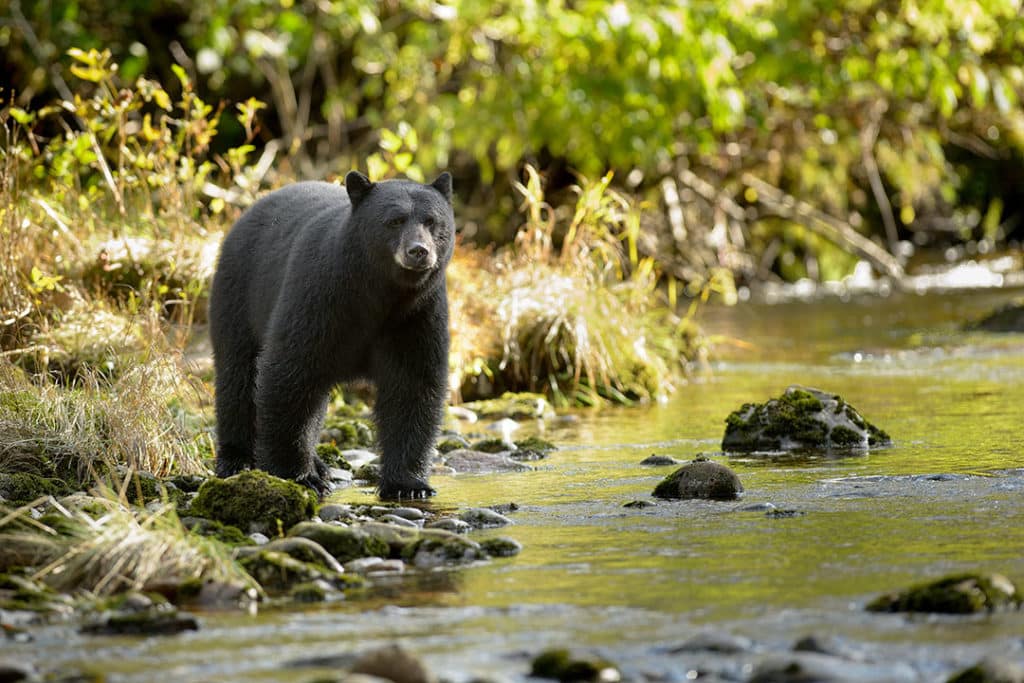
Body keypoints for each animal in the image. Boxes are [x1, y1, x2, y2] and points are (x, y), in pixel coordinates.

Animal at [209, 171, 454, 499]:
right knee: (237, 375)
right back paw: (237, 459)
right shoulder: (320, 296)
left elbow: (413, 385)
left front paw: (408, 485)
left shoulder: (417, 314)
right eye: (395, 220)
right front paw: (298, 475)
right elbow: (288, 373)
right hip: (238, 294)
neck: (381, 293)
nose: (418, 251)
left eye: (431, 221)